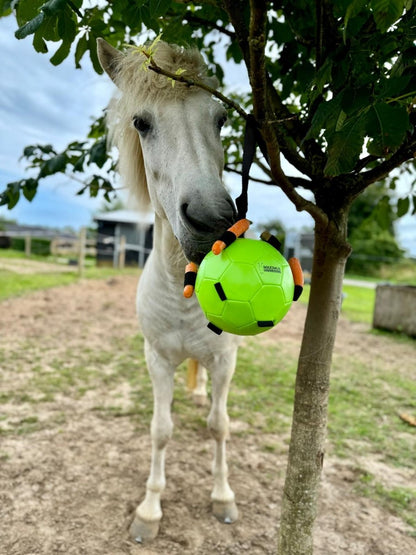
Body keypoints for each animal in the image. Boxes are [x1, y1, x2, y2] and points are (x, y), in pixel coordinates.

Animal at [96, 39, 240, 544]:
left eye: (220, 118)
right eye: (142, 122)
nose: (213, 221)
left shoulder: (225, 360)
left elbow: (219, 426)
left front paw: (223, 498)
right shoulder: (156, 359)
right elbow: (160, 430)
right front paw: (149, 510)